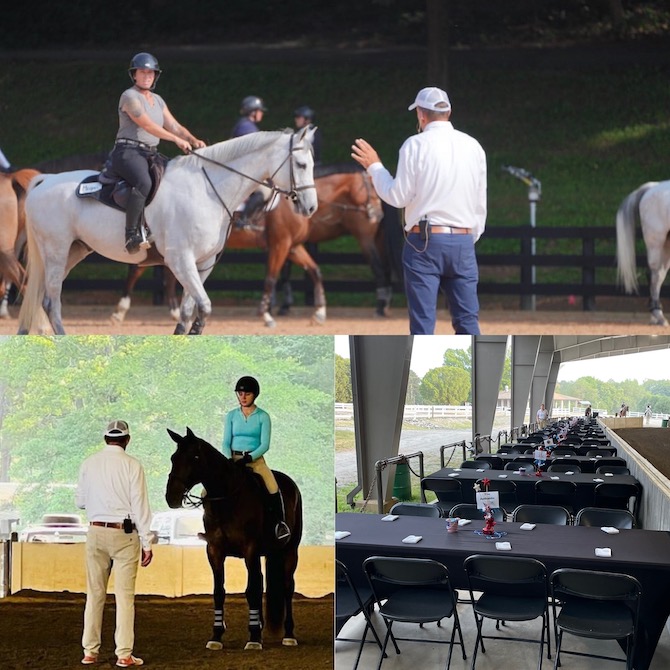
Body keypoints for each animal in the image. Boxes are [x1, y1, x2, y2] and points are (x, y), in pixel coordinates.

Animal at [15, 127, 318, 336]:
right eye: (301, 165)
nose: (311, 207)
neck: (207, 190)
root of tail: (45, 180)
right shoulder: (180, 260)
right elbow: (203, 308)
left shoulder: (203, 264)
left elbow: (187, 311)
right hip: (56, 251)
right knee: (52, 301)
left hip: (72, 252)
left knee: (40, 296)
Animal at [111, 165, 388, 328]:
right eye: (372, 189)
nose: (378, 215)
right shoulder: (280, 245)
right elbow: (271, 278)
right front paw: (266, 314)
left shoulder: (293, 246)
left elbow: (315, 271)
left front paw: (319, 312)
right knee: (137, 271)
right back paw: (120, 311)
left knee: (170, 278)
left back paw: (173, 311)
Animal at [167, 428, 304, 652]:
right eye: (173, 458)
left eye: (195, 457)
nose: (172, 496)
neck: (227, 499)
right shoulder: (214, 551)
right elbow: (219, 591)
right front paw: (216, 636)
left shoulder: (250, 550)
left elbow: (252, 591)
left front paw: (254, 638)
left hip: (290, 551)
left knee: (287, 587)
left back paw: (289, 635)